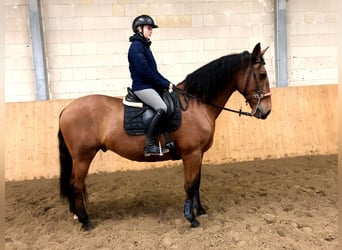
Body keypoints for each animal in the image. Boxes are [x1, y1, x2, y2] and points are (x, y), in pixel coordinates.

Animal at [58, 42, 272, 230]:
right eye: (262, 74)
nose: (267, 111)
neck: (196, 105)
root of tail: (67, 109)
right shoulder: (191, 154)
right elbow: (190, 184)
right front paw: (191, 218)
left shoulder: (199, 154)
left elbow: (197, 183)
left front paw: (200, 210)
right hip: (83, 157)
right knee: (76, 185)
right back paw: (85, 221)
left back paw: (80, 215)